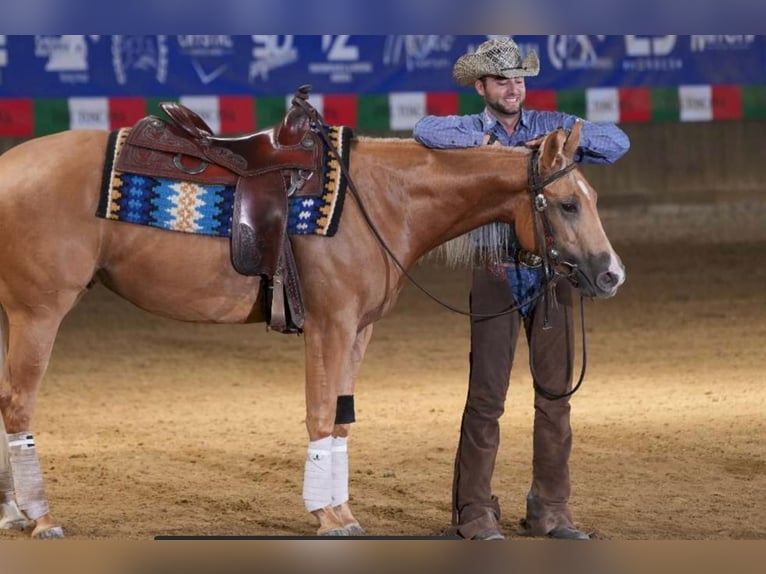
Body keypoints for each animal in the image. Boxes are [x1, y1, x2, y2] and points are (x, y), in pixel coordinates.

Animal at [0, 117, 624, 540]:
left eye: (592, 197)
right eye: (567, 204)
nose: (610, 274)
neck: (380, 199)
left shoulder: (360, 330)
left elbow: (343, 420)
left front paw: (342, 510)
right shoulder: (332, 324)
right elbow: (321, 413)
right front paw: (326, 516)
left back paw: (12, 512)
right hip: (39, 312)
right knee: (19, 405)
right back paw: (40, 517)